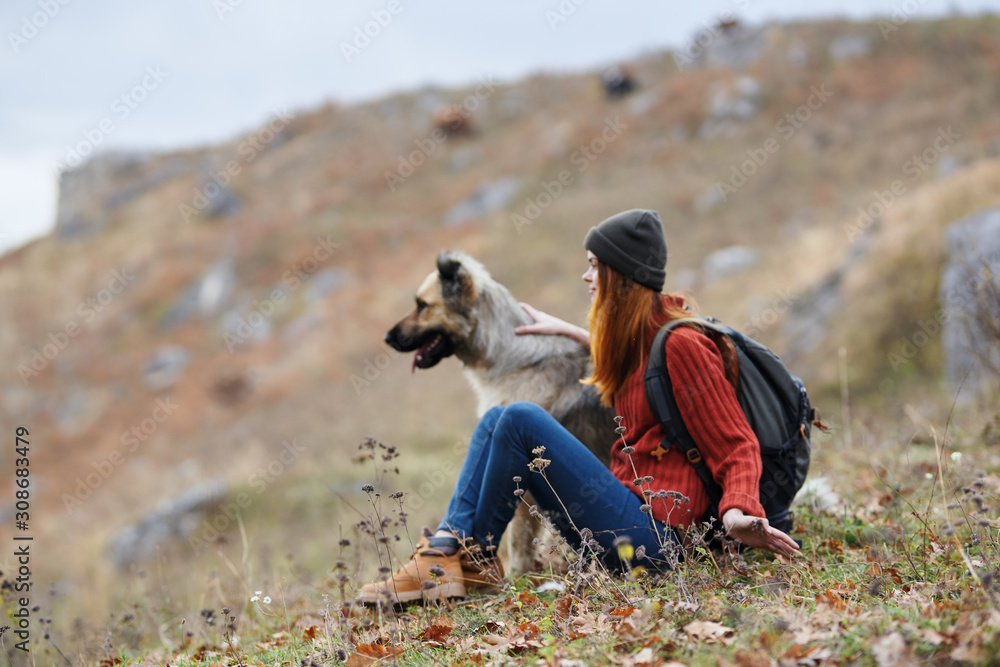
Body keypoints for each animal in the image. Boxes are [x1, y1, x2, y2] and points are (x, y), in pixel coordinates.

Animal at [386, 250, 612, 576]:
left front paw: (519, 577)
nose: (387, 338)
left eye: (422, 306)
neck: (510, 356)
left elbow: (519, 539)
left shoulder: (528, 481)